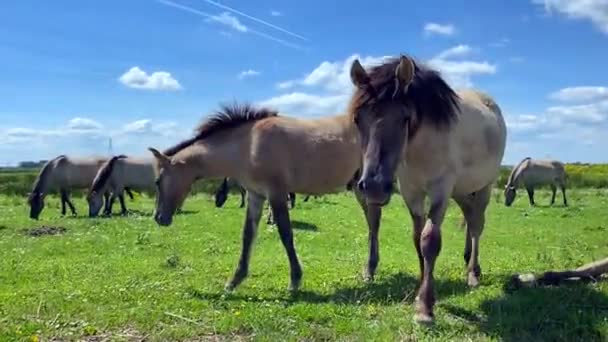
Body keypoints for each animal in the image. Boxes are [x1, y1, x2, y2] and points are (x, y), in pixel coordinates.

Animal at [346, 54, 508, 324]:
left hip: (485, 185)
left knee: (476, 225)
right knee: (469, 215)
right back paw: (467, 262)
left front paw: (425, 308)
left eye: (404, 118)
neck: (419, 147)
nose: (374, 187)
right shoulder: (411, 191)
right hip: (462, 190)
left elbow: (430, 240)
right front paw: (420, 289)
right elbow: (416, 238)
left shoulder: (441, 189)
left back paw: (473, 273)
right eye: (358, 119)